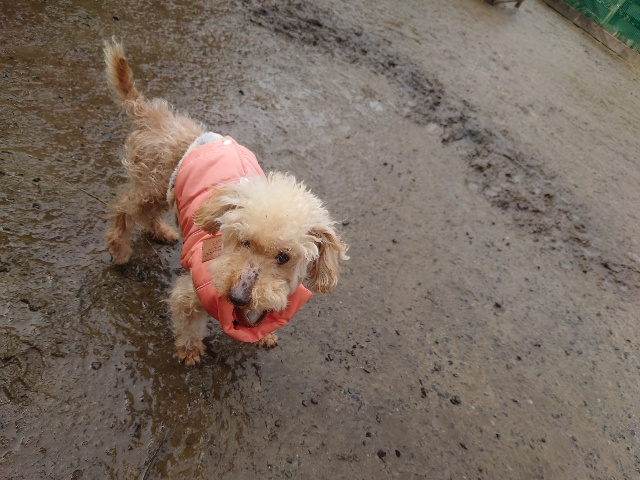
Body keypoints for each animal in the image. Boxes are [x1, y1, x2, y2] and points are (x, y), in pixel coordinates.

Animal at [103, 40, 348, 366]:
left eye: (284, 257)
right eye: (243, 241)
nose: (237, 297)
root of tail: (153, 115)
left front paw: (264, 335)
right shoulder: (192, 292)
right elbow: (187, 321)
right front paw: (190, 351)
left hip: (164, 191)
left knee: (147, 214)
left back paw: (160, 231)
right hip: (149, 185)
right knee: (124, 209)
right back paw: (119, 248)